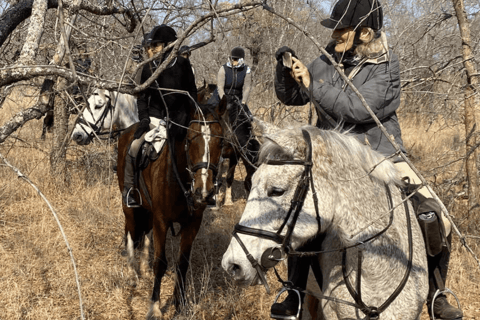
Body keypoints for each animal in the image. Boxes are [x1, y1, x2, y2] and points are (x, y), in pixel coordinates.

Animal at [117, 99, 227, 318]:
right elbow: (161, 263)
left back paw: (143, 267)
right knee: (131, 233)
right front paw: (154, 307)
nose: (204, 192)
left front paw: (180, 304)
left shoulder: (192, 224)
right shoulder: (162, 221)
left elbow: (182, 264)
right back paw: (133, 274)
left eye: (220, 142)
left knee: (145, 233)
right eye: (190, 140)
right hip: (130, 207)